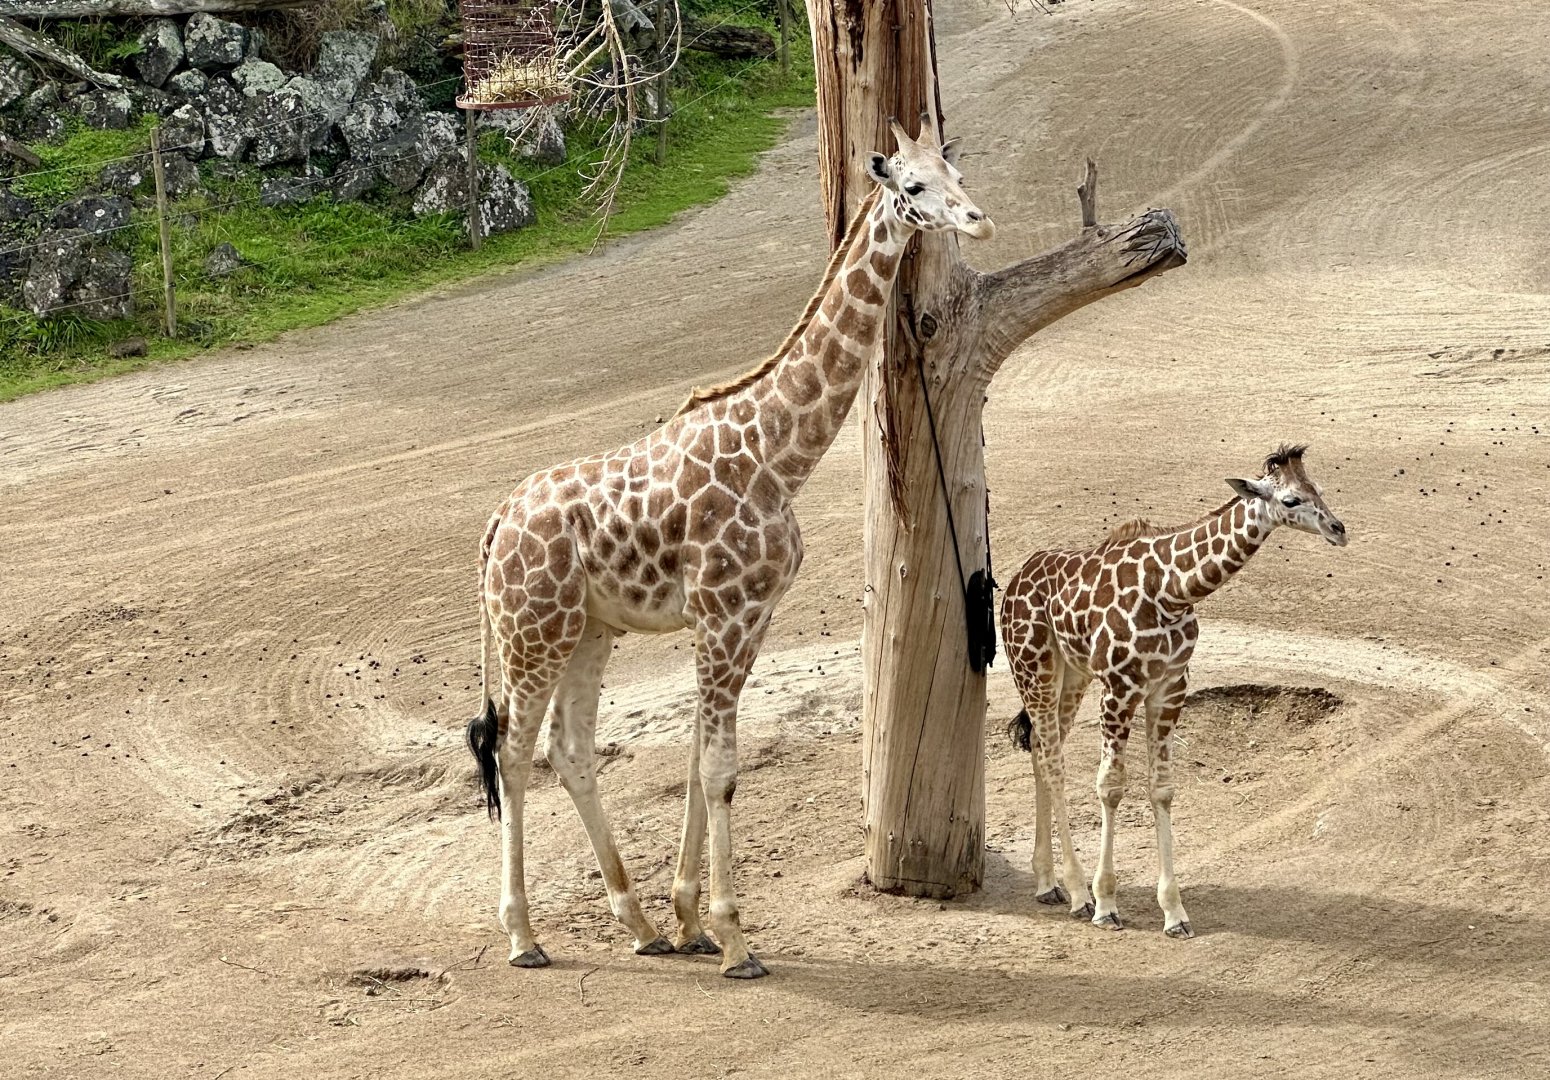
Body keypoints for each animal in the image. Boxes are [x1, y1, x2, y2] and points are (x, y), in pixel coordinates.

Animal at [465, 121, 993, 979]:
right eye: (913, 188)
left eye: (957, 174)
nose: (978, 221)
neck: (780, 454)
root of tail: (493, 527)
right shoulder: (723, 612)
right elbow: (719, 769)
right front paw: (735, 937)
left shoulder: (751, 616)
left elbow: (695, 758)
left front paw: (687, 921)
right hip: (531, 631)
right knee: (511, 751)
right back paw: (523, 935)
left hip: (589, 629)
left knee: (567, 749)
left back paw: (637, 922)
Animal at [998, 445, 1347, 938]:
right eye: (1291, 500)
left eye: (1318, 488)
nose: (1338, 529)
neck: (1171, 591)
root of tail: (1014, 580)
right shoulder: (1119, 687)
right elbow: (1110, 786)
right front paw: (1107, 903)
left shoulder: (1169, 688)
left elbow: (1162, 789)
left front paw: (1174, 912)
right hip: (1033, 666)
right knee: (1053, 762)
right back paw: (1079, 892)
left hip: (1072, 674)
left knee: (1040, 751)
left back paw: (1047, 883)